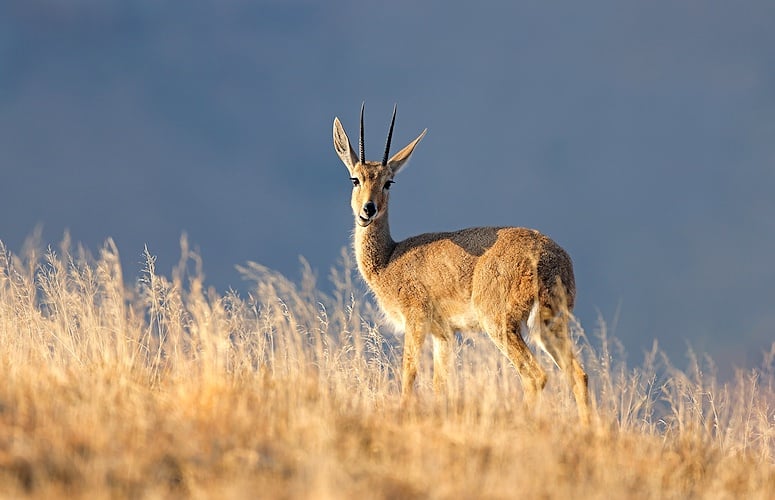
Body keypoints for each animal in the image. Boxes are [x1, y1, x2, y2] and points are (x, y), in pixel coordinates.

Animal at [330, 103, 592, 424]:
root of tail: (550, 258)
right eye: (355, 179)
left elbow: (409, 375)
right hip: (549, 325)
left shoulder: (416, 321)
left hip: (501, 325)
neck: (389, 259)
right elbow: (439, 384)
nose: (369, 209)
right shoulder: (444, 333)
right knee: (578, 375)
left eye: (388, 181)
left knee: (536, 376)